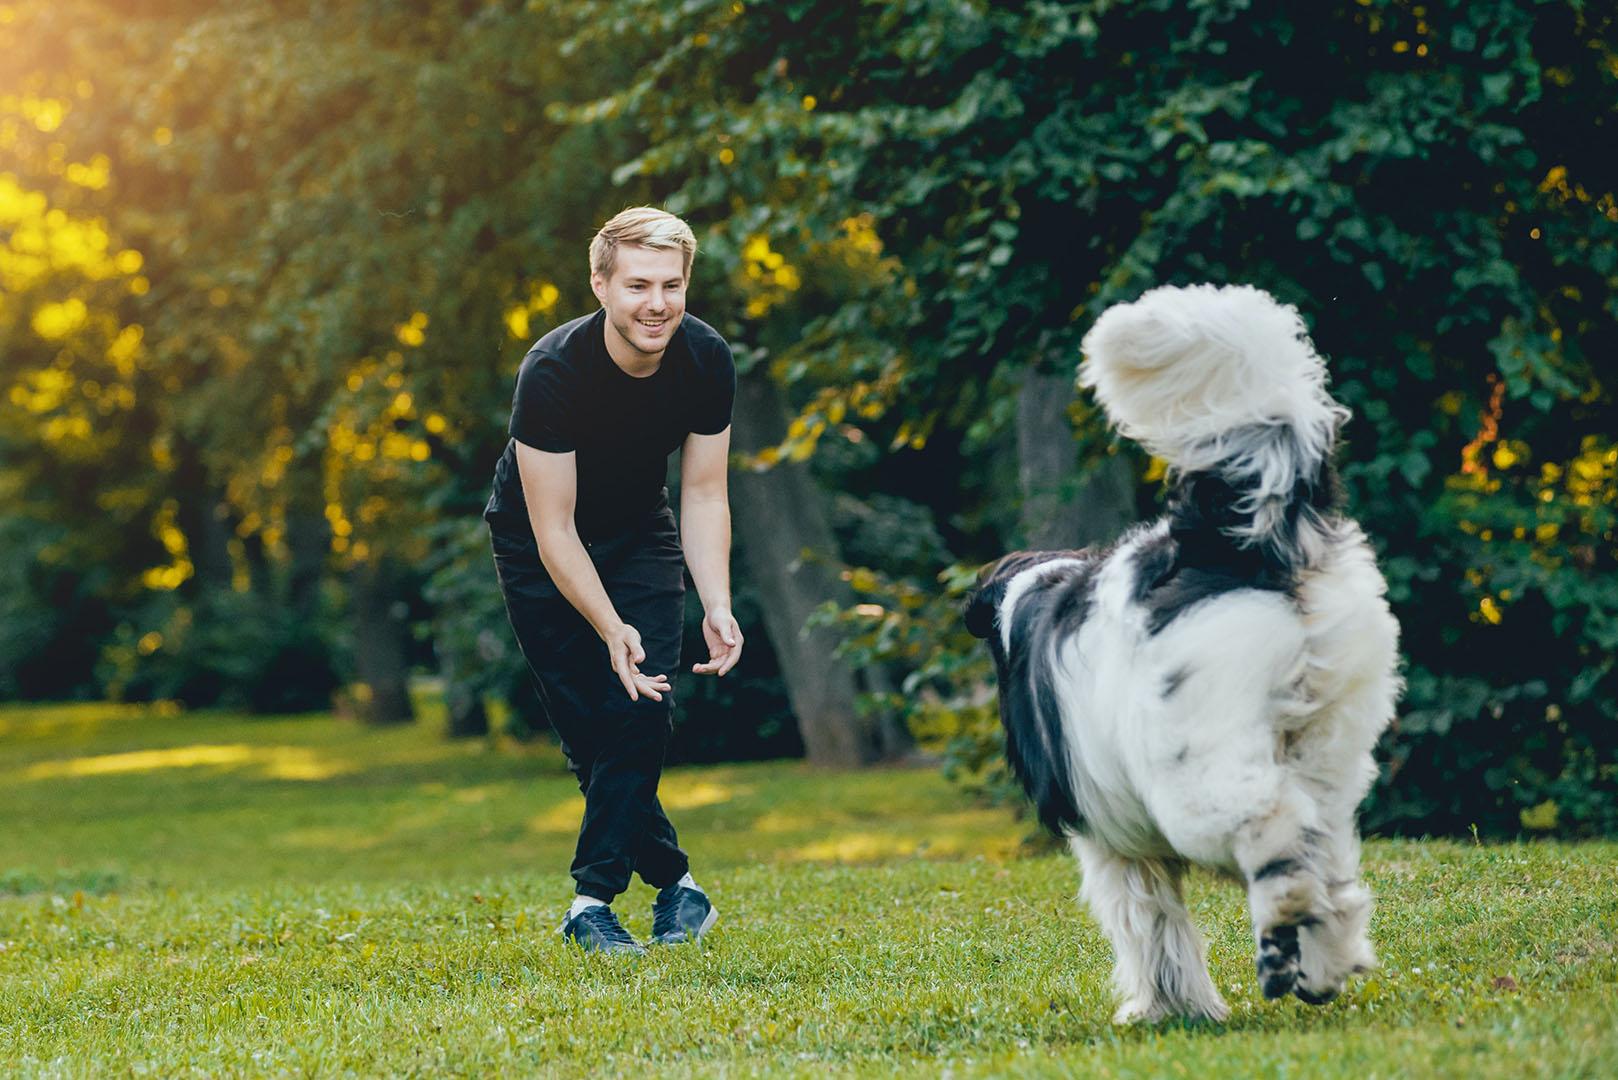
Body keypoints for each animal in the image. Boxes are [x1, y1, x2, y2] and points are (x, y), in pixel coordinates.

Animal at [957, 281, 1404, 1023]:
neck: (1025, 596)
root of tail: (1229, 538)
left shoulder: (1110, 843)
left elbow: (1148, 926)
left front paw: (1163, 1008)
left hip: (1198, 769)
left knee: (1275, 831)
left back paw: (1283, 933)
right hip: (1328, 742)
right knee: (1329, 860)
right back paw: (1322, 963)